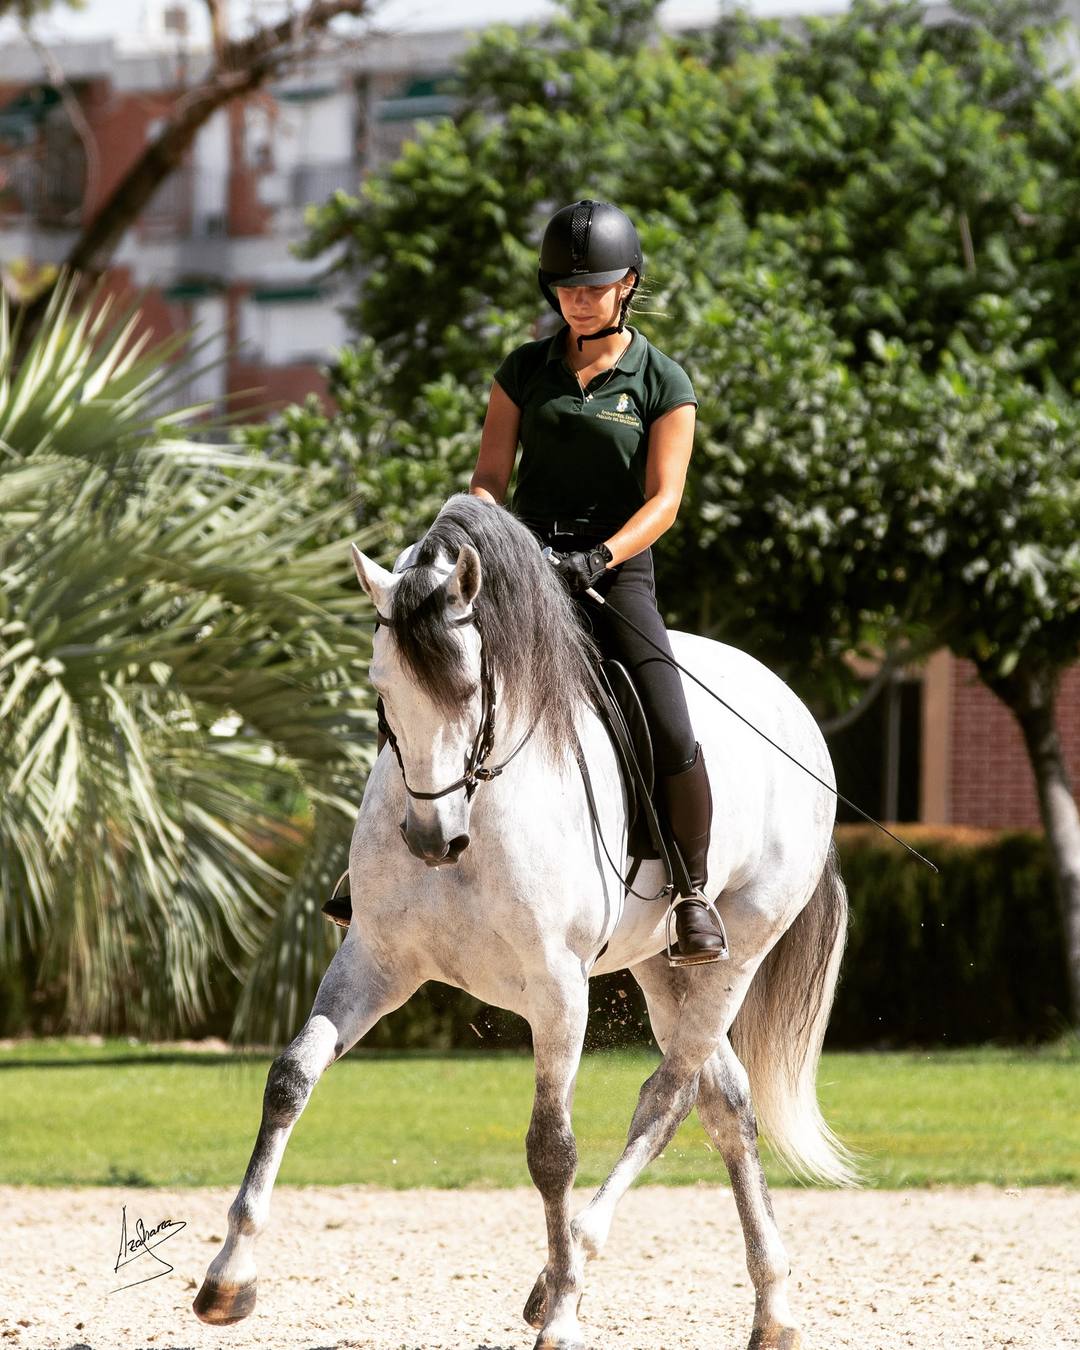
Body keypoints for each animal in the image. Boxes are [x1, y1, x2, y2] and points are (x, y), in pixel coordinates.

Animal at [193, 493, 853, 1350]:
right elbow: (290, 1079)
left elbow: (552, 1148)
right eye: (381, 688)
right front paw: (228, 1277)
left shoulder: (558, 989)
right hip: (660, 966)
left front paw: (566, 1310)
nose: (430, 840)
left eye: (472, 686)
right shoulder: (375, 960)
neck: (479, 808)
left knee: (665, 1098)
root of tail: (794, 710)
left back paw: (571, 1271)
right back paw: (771, 1310)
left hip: (734, 955)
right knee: (724, 1105)